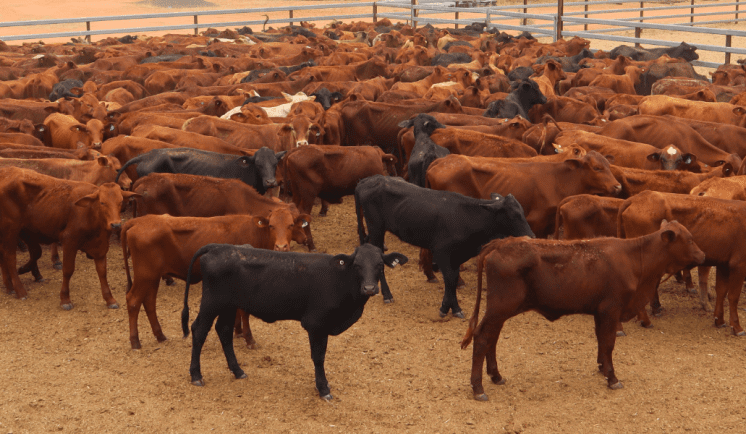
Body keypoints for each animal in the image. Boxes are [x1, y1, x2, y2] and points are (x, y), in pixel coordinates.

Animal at [0, 167, 138, 308]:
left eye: (120, 202)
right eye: (102, 202)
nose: (116, 224)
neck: (90, 212)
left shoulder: (100, 246)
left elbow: (102, 272)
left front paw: (110, 299)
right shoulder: (69, 241)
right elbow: (68, 270)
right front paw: (65, 299)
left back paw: (10, 286)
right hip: (11, 229)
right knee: (10, 258)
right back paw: (19, 290)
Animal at [121, 210, 310, 349]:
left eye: (290, 225)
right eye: (271, 226)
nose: (281, 246)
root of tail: (138, 221)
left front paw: (238, 330)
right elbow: (244, 311)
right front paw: (248, 338)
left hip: (152, 277)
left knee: (149, 302)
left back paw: (160, 335)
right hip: (145, 275)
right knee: (133, 301)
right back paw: (135, 341)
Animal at [181, 243, 408, 400]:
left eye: (379, 265)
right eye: (357, 265)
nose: (369, 288)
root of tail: (217, 247)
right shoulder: (316, 324)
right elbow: (318, 358)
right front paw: (323, 388)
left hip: (229, 305)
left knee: (224, 330)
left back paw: (238, 371)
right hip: (212, 302)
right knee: (199, 330)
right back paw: (196, 375)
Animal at [354, 175, 535, 317]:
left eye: (522, 211)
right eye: (513, 215)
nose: (531, 236)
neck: (468, 218)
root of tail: (368, 179)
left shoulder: (457, 256)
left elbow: (453, 280)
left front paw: (449, 307)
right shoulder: (442, 253)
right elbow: (449, 279)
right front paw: (451, 308)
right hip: (376, 228)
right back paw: (387, 295)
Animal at [461, 220, 705, 400]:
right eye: (690, 239)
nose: (703, 255)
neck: (635, 258)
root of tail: (501, 243)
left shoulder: (600, 312)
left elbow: (601, 341)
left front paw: (602, 368)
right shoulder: (610, 310)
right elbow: (608, 343)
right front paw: (612, 378)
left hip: (500, 311)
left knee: (492, 338)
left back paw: (496, 376)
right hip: (500, 308)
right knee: (483, 338)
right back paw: (478, 388)